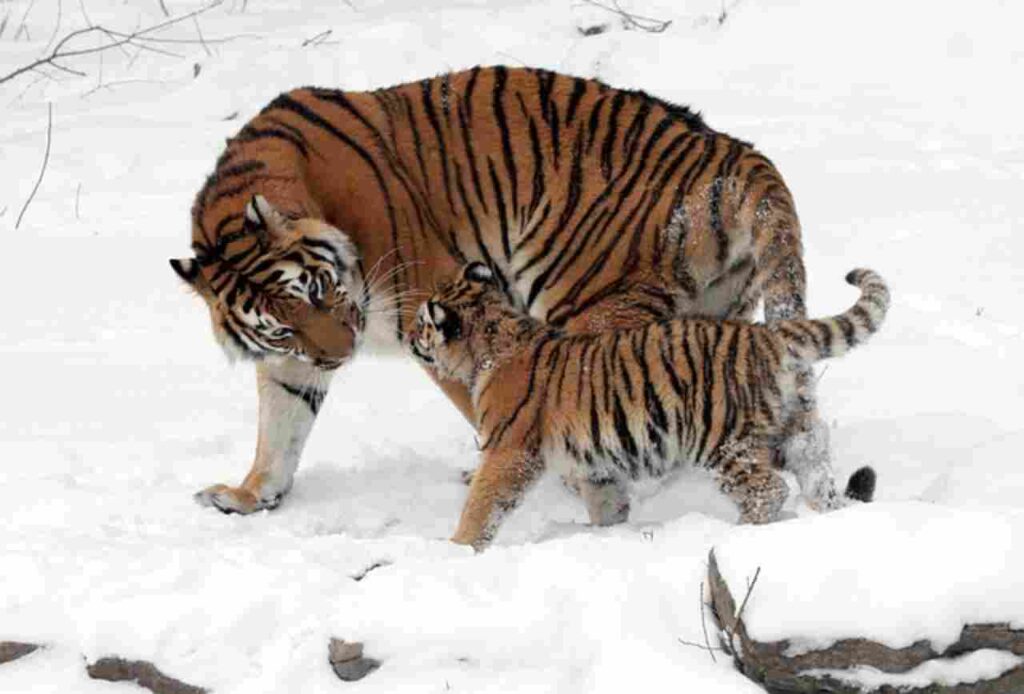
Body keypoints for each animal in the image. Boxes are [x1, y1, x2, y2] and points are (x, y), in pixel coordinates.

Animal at [171, 65, 836, 516]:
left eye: (316, 290)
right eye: (281, 325)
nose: (341, 355)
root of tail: (733, 152)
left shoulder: (429, 306)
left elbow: (487, 403)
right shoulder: (293, 358)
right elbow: (280, 423)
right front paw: (250, 494)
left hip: (589, 302)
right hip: (718, 312)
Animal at [409, 262, 887, 550]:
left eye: (421, 323)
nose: (411, 338)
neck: (493, 338)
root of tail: (768, 335)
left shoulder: (509, 452)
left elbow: (482, 504)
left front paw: (457, 549)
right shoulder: (595, 462)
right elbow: (606, 502)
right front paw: (607, 534)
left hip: (723, 441)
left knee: (768, 490)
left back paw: (735, 533)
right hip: (797, 430)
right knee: (817, 477)